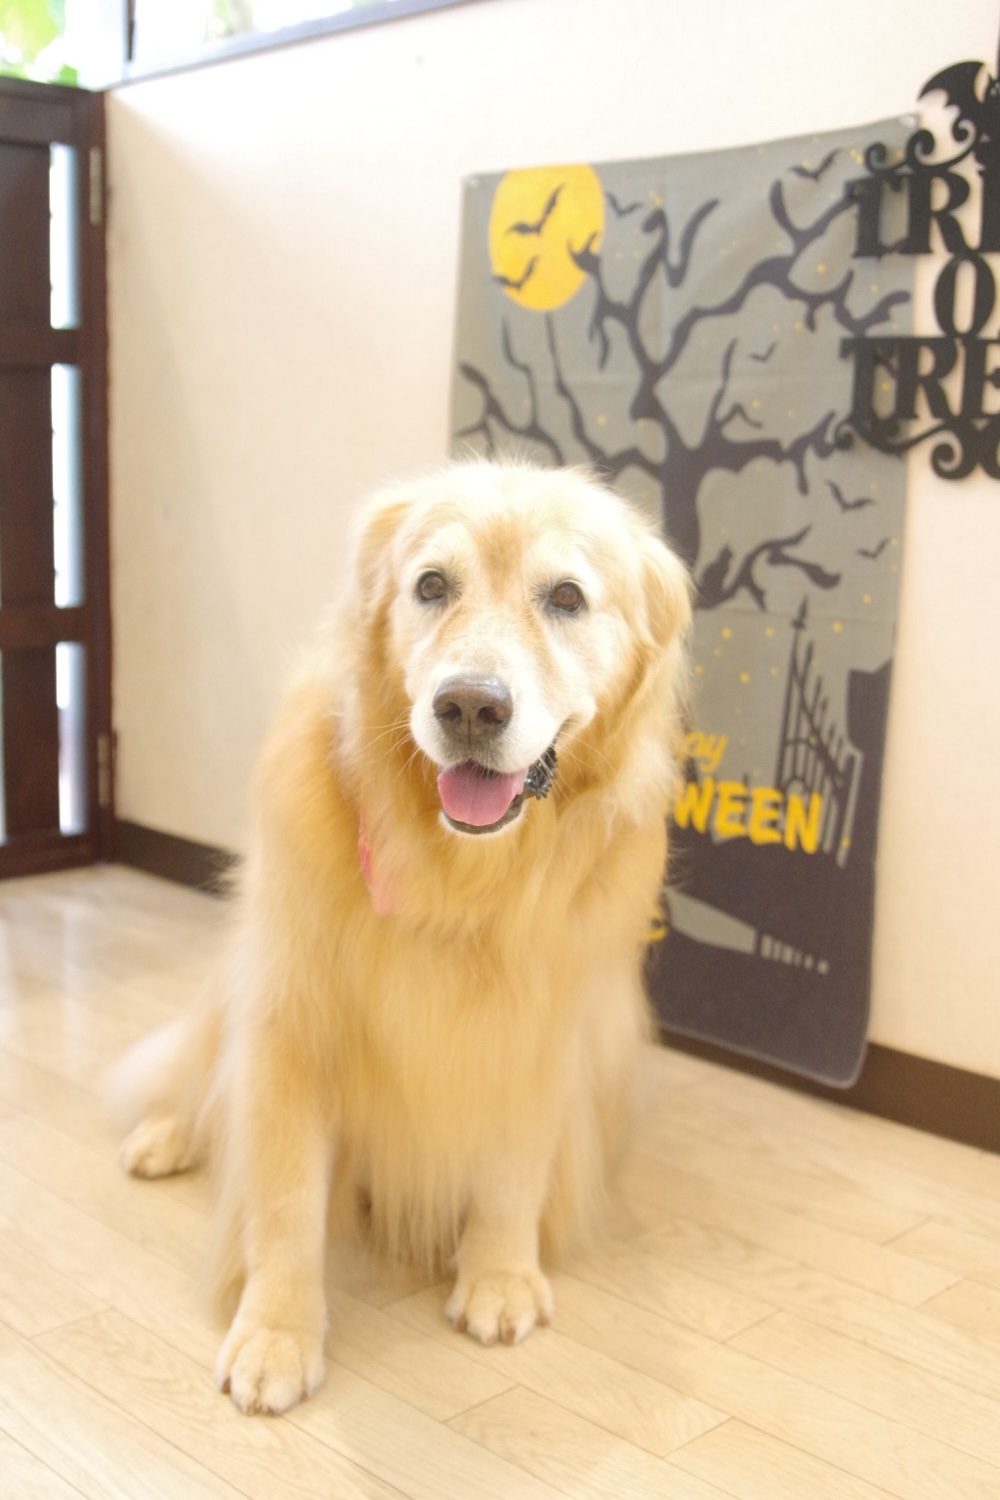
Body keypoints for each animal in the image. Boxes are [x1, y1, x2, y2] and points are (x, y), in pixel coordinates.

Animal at [112, 459, 691, 1415]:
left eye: (567, 598)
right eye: (431, 586)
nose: (469, 706)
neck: (456, 876)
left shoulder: (542, 1030)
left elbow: (512, 1170)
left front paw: (499, 1276)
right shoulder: (291, 1023)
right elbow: (284, 1198)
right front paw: (277, 1332)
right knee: (201, 1077)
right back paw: (167, 1136)